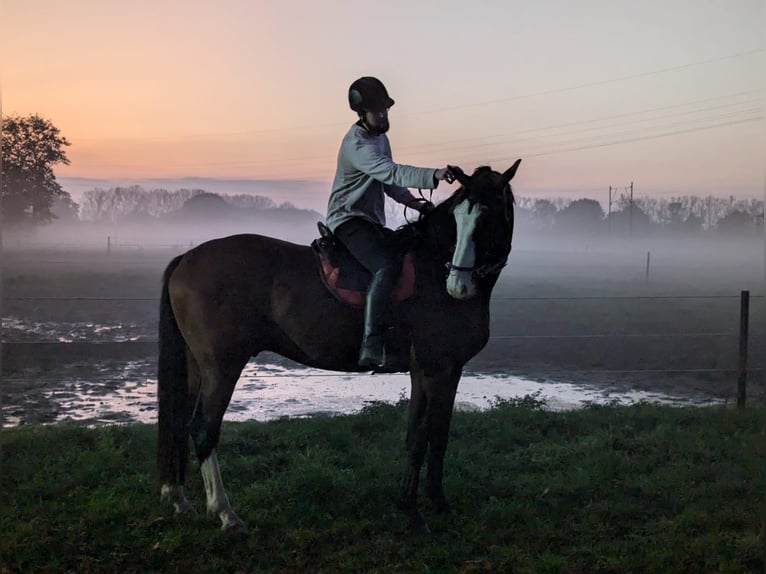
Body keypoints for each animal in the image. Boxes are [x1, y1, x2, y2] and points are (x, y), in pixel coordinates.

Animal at [159, 159, 524, 536]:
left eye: (486, 216)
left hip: (197, 366)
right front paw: (412, 512)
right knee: (204, 428)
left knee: (180, 420)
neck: (433, 270)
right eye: (460, 218)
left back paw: (179, 498)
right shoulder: (431, 369)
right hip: (223, 366)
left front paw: (436, 504)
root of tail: (187, 258)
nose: (458, 285)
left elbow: (437, 436)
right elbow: (420, 437)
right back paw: (225, 513)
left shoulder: (446, 371)